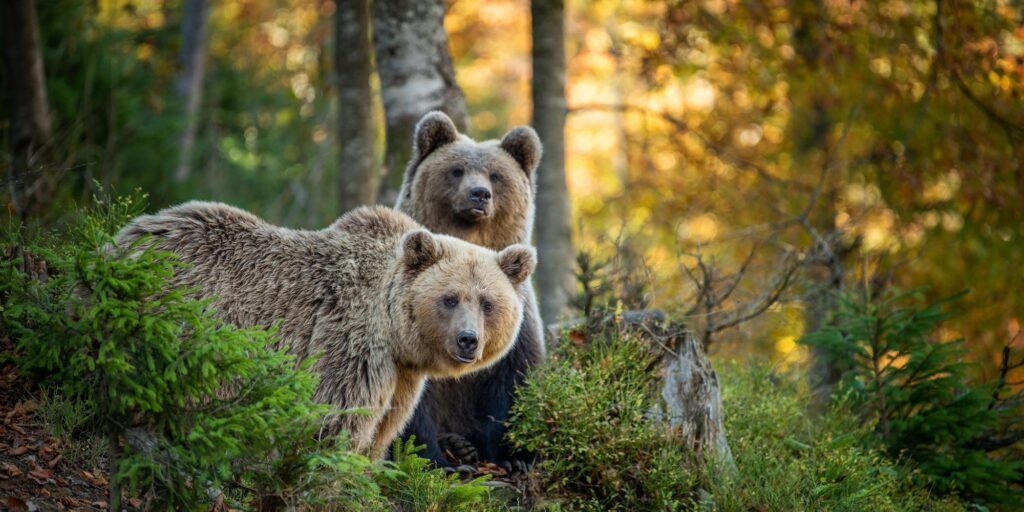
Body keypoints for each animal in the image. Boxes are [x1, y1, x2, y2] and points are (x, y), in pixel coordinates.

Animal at [115, 202, 536, 458]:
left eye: (487, 303)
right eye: (450, 298)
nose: (468, 340)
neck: (395, 331)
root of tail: (124, 240)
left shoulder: (401, 376)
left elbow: (384, 428)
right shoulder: (352, 342)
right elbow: (338, 418)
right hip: (185, 321)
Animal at [393, 111, 545, 471]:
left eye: (495, 175)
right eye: (457, 170)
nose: (479, 194)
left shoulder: (518, 319)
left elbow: (514, 380)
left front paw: (516, 457)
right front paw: (435, 460)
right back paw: (457, 448)